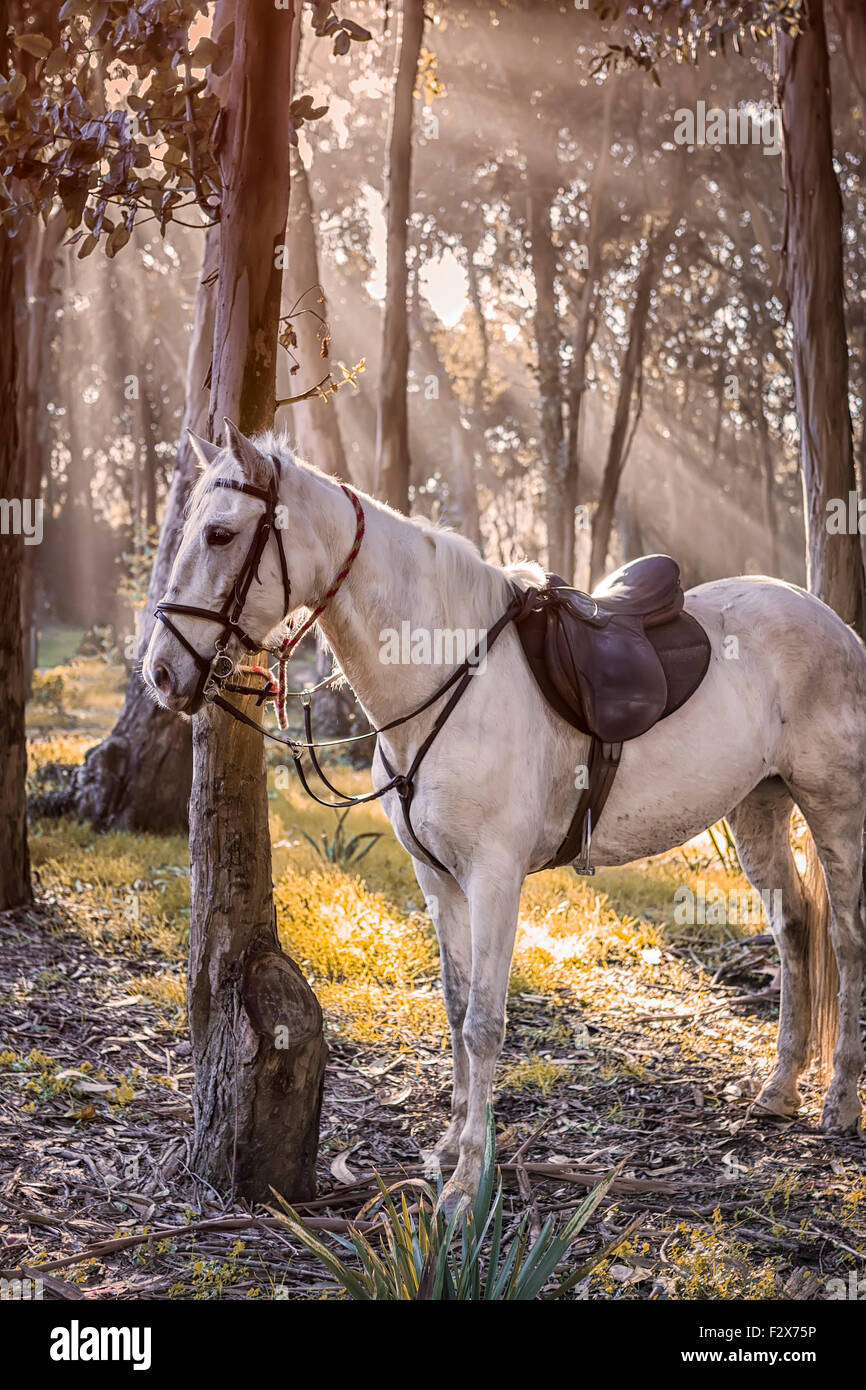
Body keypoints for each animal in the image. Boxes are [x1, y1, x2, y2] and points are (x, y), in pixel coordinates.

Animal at [142, 425, 866, 1217]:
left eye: (219, 533)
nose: (160, 674)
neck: (445, 673)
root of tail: (830, 621)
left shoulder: (494, 878)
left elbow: (486, 1022)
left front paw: (467, 1184)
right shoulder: (439, 880)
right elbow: (457, 1009)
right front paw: (451, 1146)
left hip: (833, 808)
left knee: (846, 937)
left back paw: (839, 1101)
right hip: (759, 805)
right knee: (794, 928)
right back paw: (779, 1090)